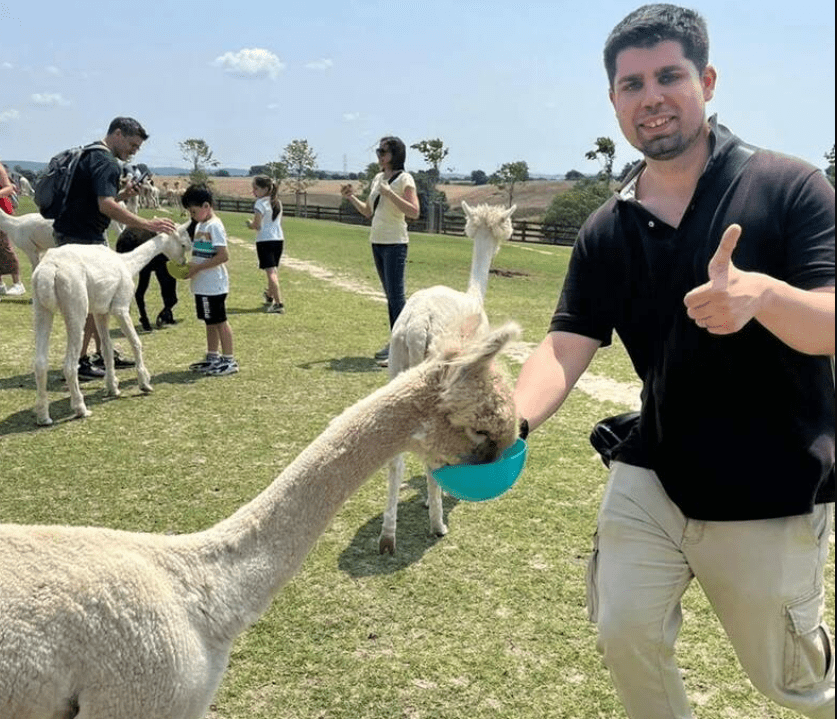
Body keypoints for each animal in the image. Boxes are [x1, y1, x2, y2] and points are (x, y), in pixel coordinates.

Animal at [379, 200, 516, 554]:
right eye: (507, 225)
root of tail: (416, 327)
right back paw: (437, 525)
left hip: (396, 366)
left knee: (395, 456)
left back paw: (388, 537)